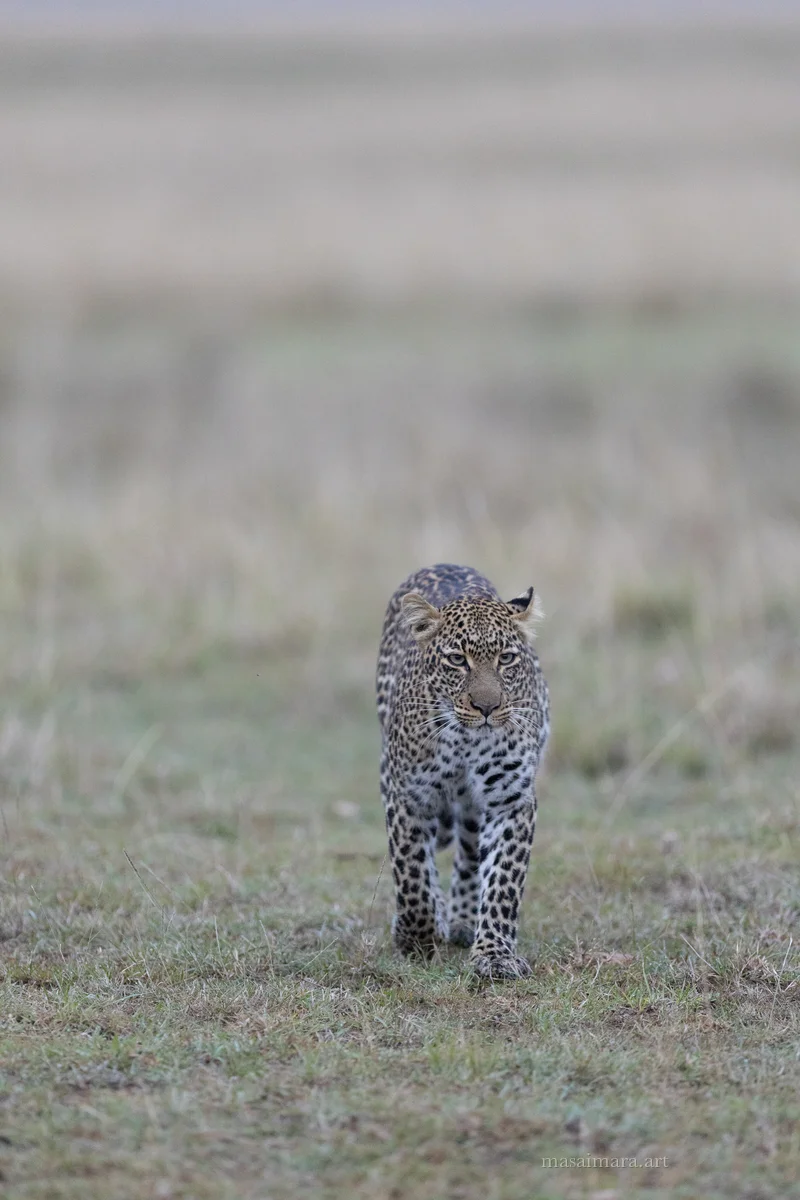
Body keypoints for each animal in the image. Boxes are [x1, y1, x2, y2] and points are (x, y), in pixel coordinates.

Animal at [376, 563, 549, 979]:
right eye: (457, 660)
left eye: (506, 658)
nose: (487, 707)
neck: (465, 741)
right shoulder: (408, 795)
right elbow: (411, 872)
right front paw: (415, 938)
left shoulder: (510, 800)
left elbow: (503, 879)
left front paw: (495, 955)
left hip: (473, 808)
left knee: (470, 854)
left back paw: (464, 921)